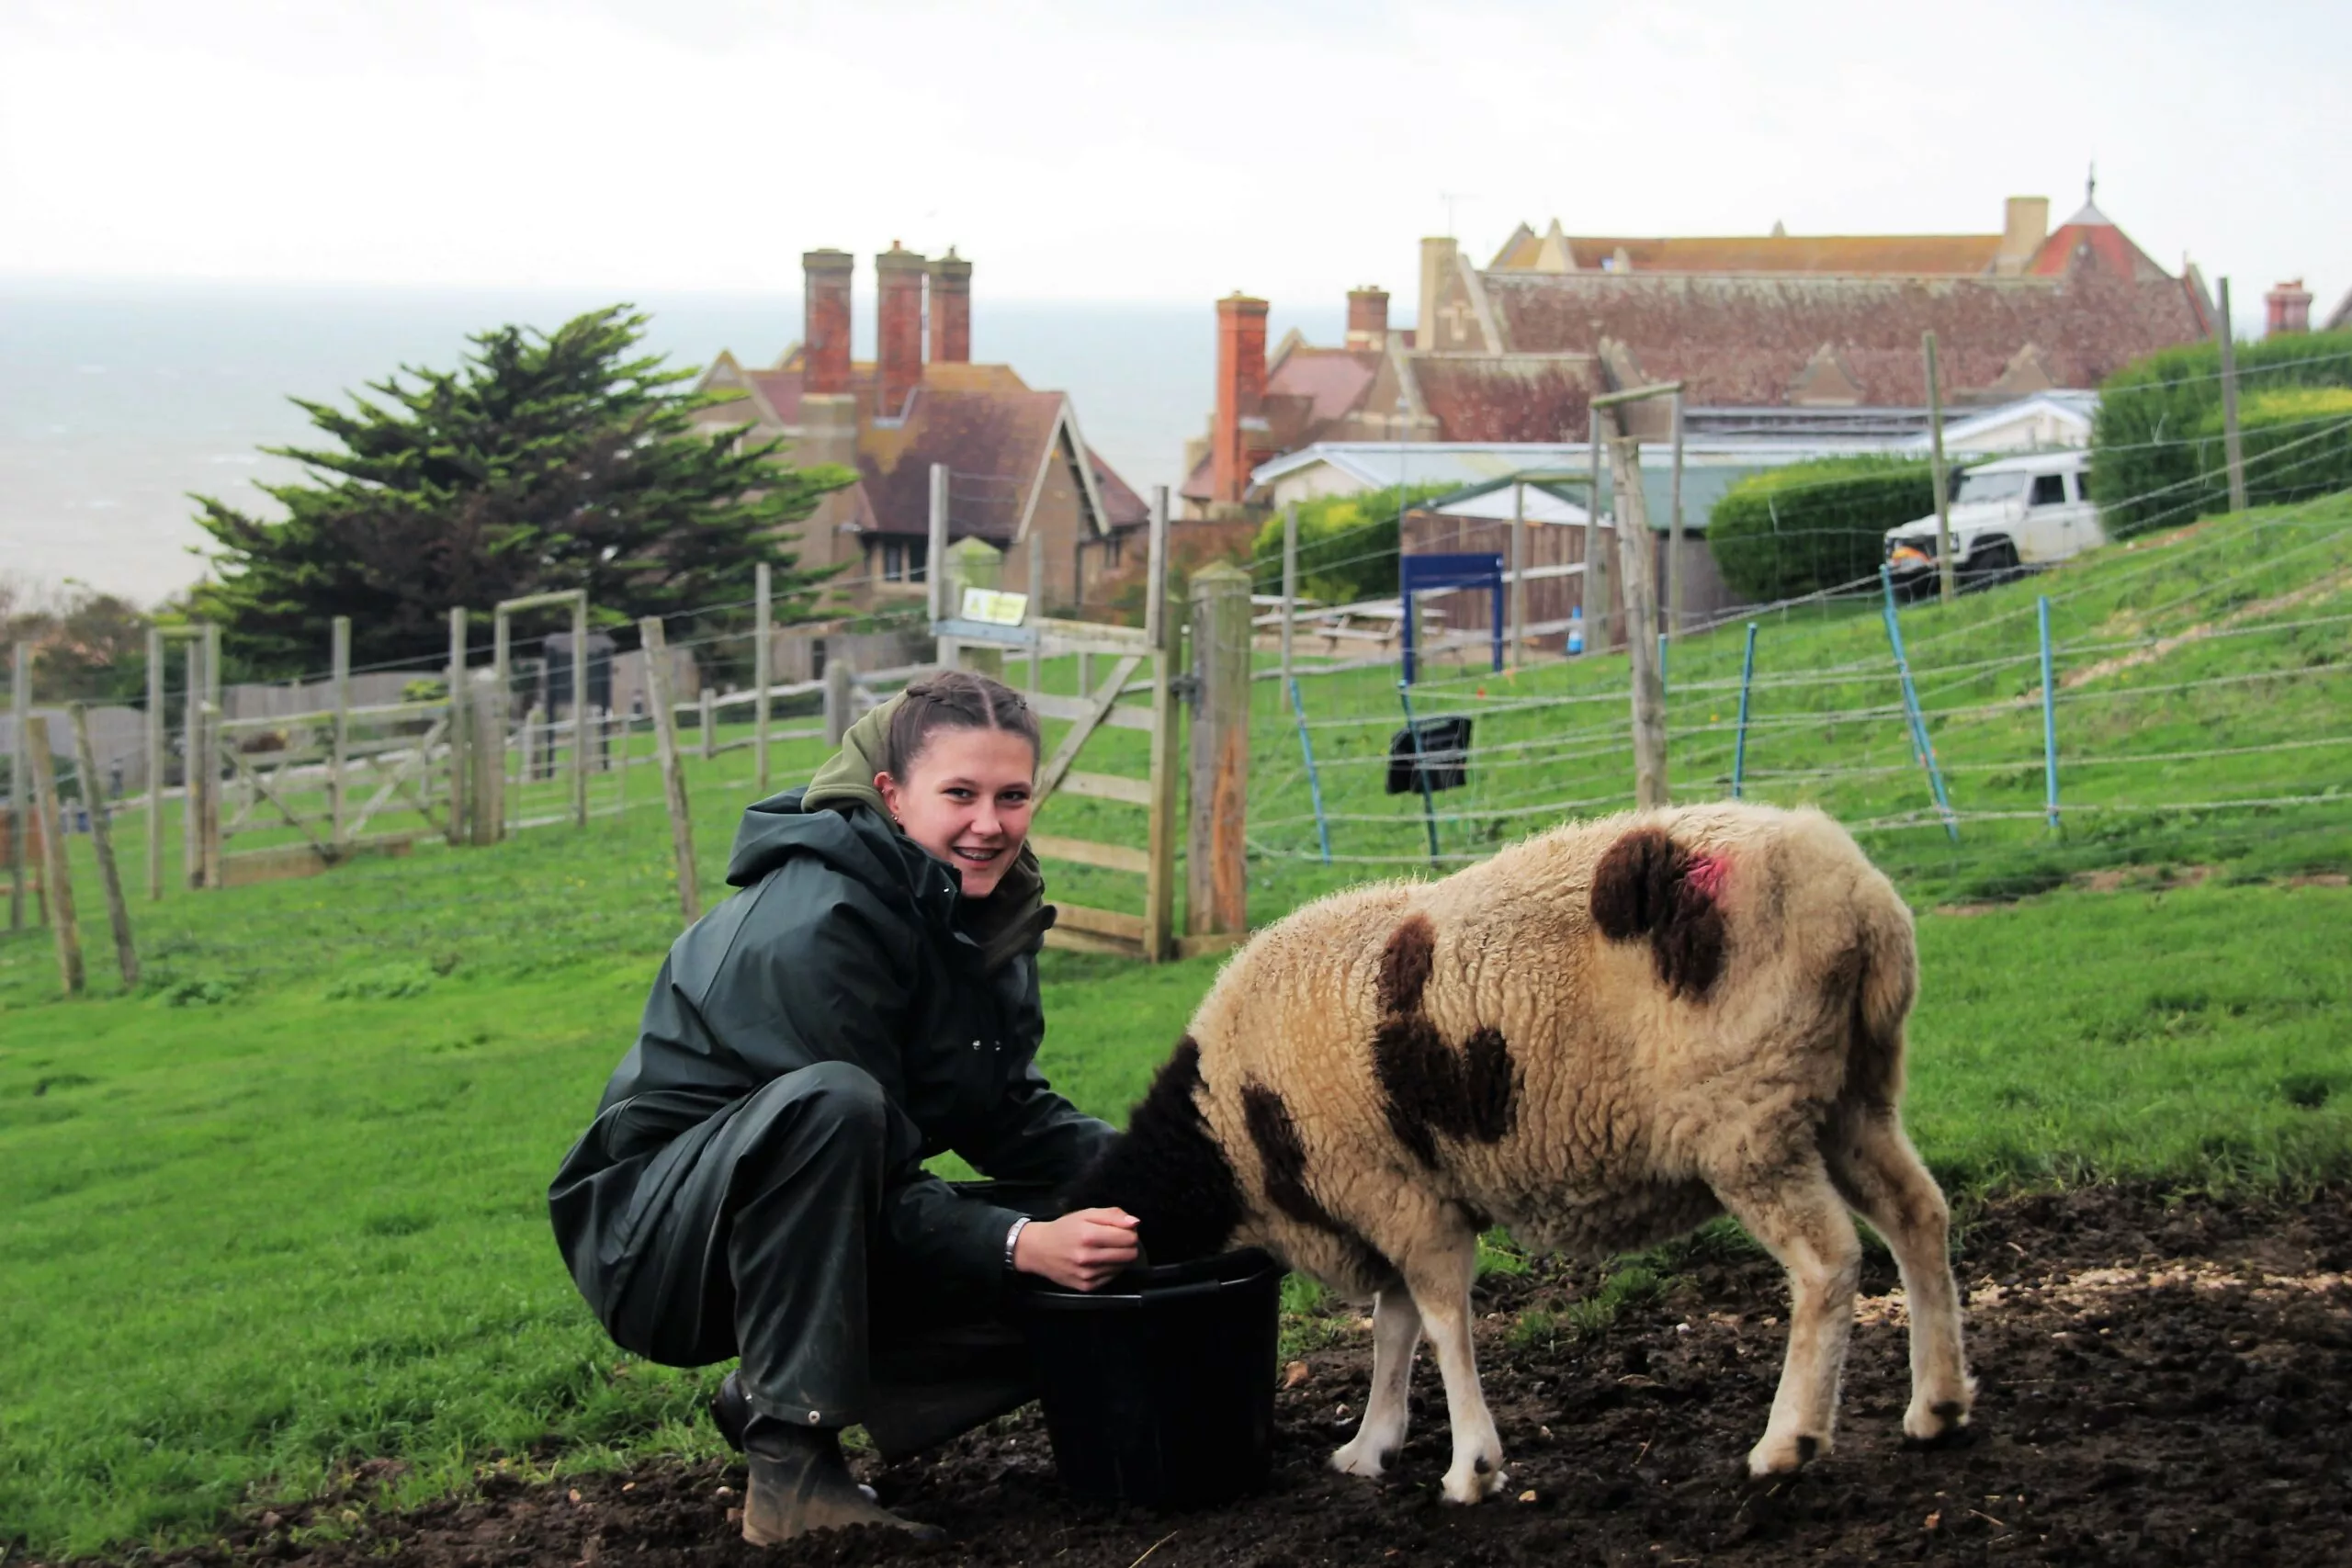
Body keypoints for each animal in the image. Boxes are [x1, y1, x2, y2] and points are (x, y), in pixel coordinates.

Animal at [1077, 804, 1975, 1504]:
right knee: (1919, 1214)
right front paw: (1372, 1445)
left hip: (1747, 1112)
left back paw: (1788, 1442)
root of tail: (1863, 902)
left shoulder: (1398, 1198)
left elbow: (1441, 1324)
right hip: (1844, 1094)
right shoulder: (1398, 1196)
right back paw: (1936, 1405)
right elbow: (1394, 1328)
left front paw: (1470, 1467)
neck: (1227, 1133)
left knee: (1828, 1261)